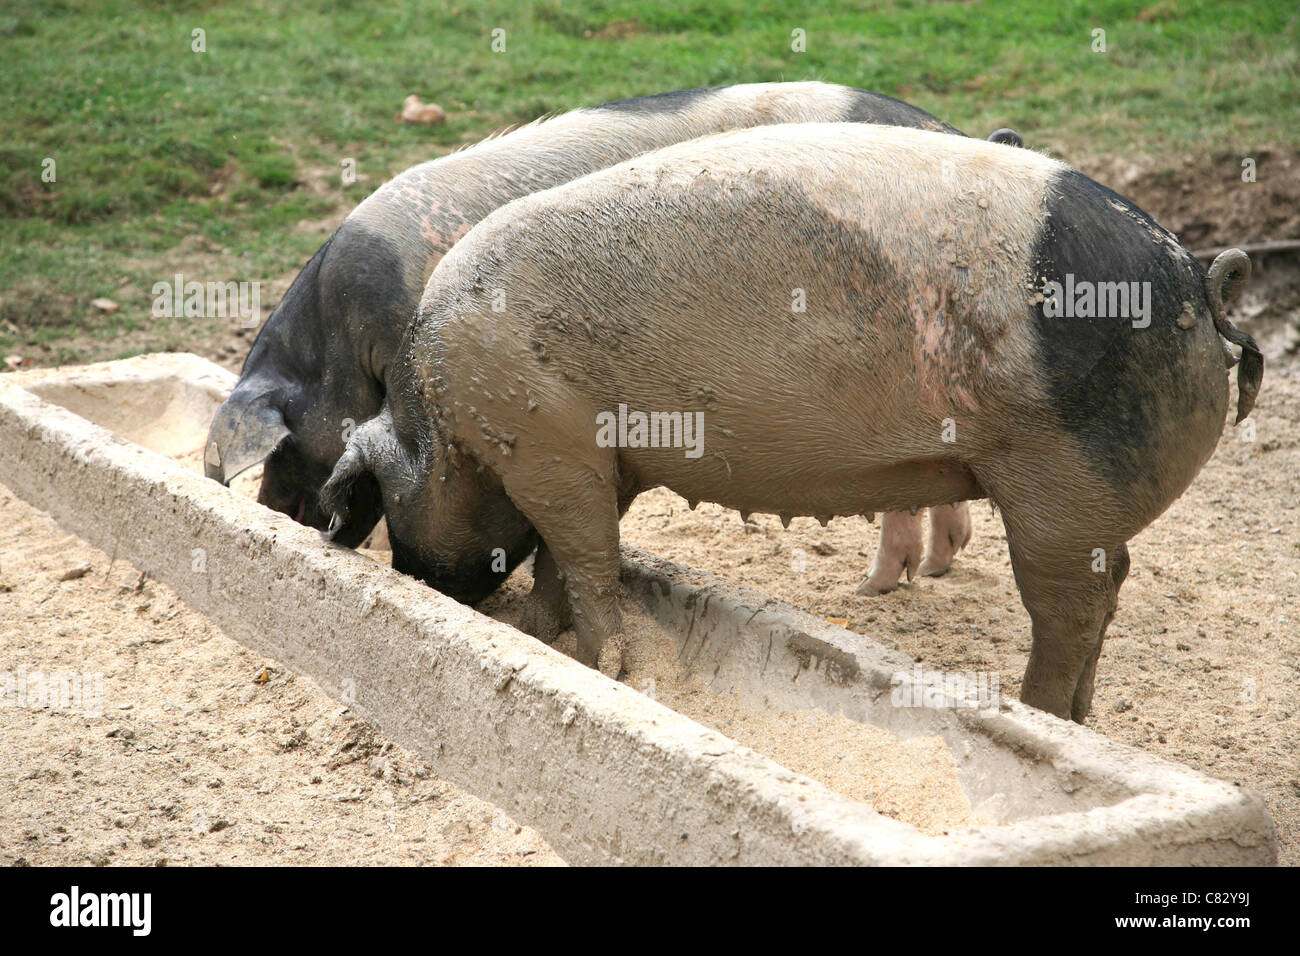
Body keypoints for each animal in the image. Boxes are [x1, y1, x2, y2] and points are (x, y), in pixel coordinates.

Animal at [321, 123, 1261, 723]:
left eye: (384, 507)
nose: (419, 578)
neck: (443, 425)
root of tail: (1198, 281)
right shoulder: (597, 462)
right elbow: (571, 560)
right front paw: (544, 639)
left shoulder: (550, 452)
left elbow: (587, 560)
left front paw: (601, 667)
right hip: (1083, 505)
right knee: (1113, 586)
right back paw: (1078, 718)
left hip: (1059, 485)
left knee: (1069, 609)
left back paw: (1040, 714)